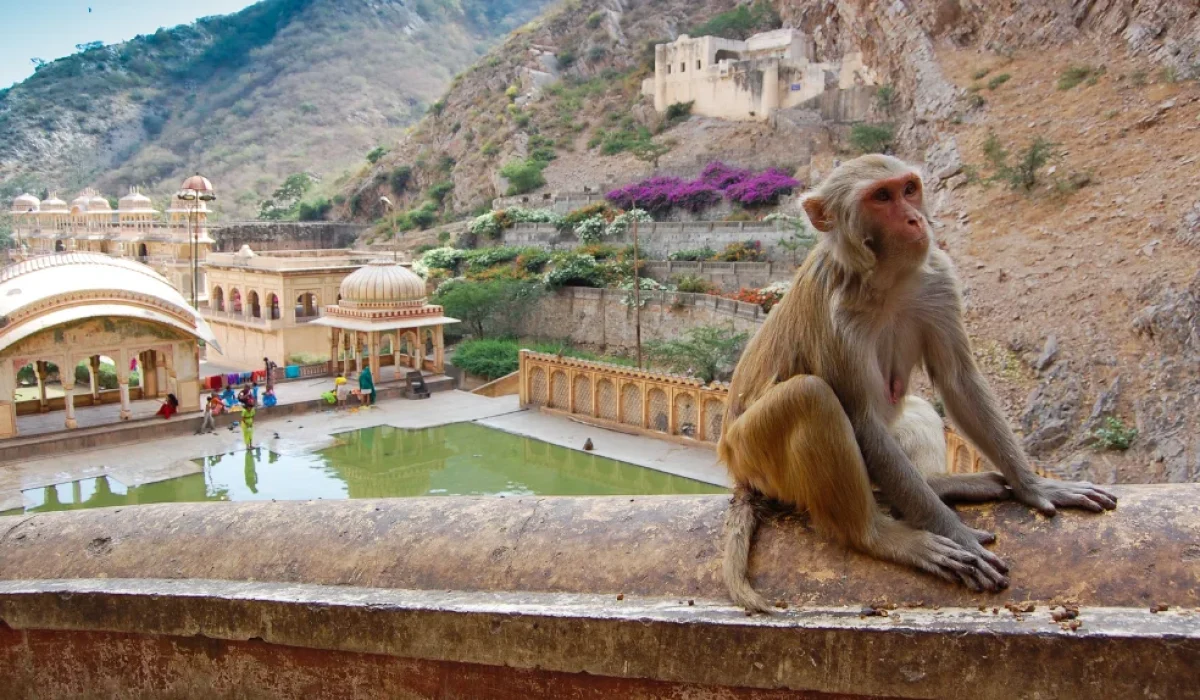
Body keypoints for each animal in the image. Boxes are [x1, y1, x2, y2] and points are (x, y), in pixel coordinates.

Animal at [718, 154, 1117, 612]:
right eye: (881, 196)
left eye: (908, 189)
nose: (914, 218)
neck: (885, 279)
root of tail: (735, 466)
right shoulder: (837, 317)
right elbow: (862, 420)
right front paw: (954, 533)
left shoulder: (937, 277)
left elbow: (958, 380)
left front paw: (1034, 485)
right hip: (752, 453)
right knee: (810, 396)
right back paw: (882, 536)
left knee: (914, 413)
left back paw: (944, 484)